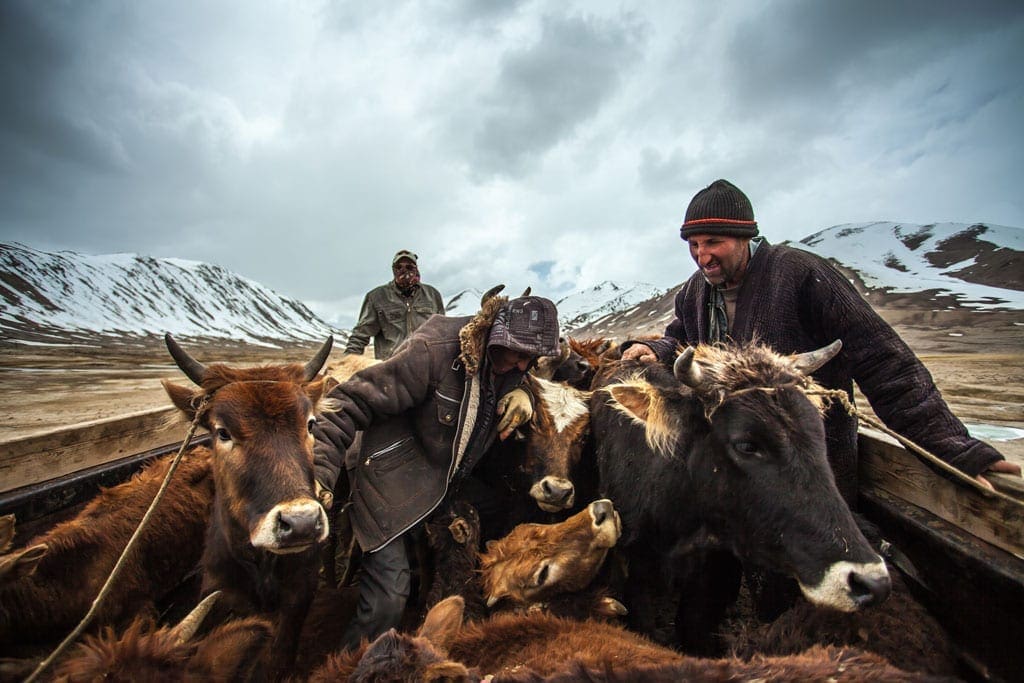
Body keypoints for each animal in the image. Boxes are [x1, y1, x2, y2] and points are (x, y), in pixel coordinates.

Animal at [161, 331, 333, 679]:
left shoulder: (300, 591)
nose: (301, 523)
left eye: (310, 424)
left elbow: (280, 656)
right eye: (222, 432)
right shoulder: (223, 595)